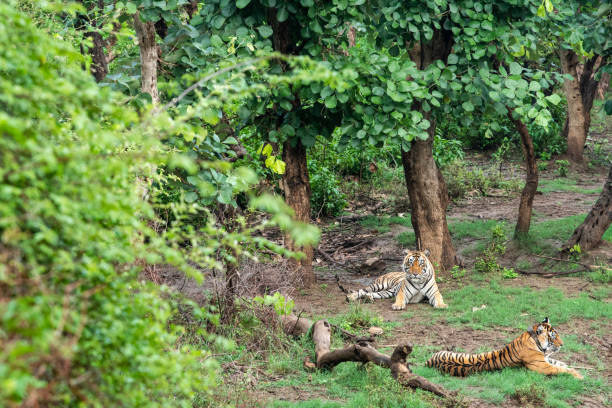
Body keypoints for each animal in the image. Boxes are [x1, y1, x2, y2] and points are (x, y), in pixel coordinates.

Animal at [426, 318, 584, 380]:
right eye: (553, 336)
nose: (562, 344)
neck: (533, 339)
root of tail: (428, 362)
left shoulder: (546, 359)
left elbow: (560, 363)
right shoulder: (542, 366)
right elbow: (561, 369)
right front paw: (579, 375)